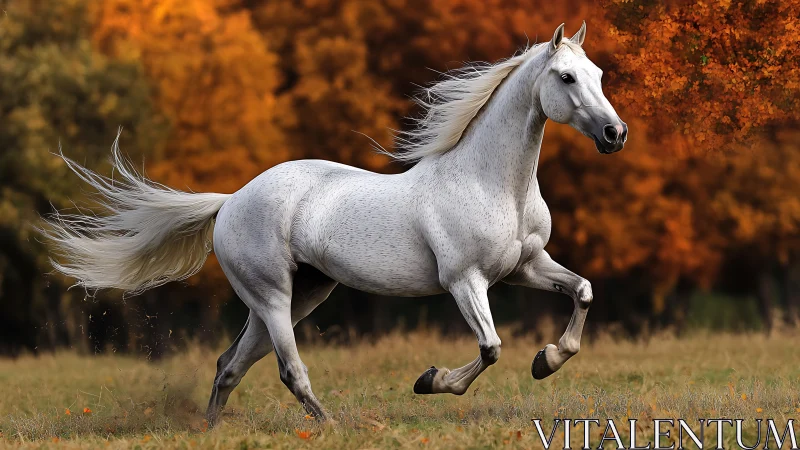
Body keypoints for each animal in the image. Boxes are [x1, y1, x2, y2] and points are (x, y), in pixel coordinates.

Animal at [43, 22, 627, 424]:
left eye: (599, 75)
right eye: (566, 77)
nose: (615, 134)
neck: (493, 182)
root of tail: (231, 201)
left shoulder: (525, 266)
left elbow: (583, 292)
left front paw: (547, 360)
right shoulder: (465, 281)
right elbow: (490, 347)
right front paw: (430, 380)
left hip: (300, 295)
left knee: (230, 364)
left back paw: (210, 429)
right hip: (273, 296)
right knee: (288, 370)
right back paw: (330, 425)